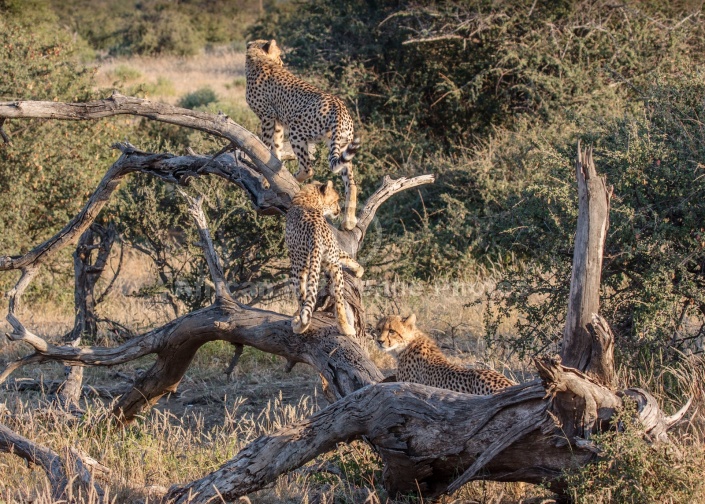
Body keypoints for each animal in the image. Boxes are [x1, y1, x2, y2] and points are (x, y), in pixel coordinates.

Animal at [245, 39, 360, 232]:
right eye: (280, 54)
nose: (282, 62)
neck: (258, 60)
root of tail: (338, 105)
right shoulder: (277, 122)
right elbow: (275, 149)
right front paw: (272, 170)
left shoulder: (268, 116)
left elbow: (266, 146)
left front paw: (265, 179)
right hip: (342, 144)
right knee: (351, 183)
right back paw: (349, 221)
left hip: (296, 129)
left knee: (308, 168)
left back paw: (294, 179)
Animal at [284, 179, 364, 336]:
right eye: (335, 201)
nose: (338, 210)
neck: (309, 200)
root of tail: (315, 232)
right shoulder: (333, 254)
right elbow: (344, 254)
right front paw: (359, 269)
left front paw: (359, 269)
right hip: (334, 268)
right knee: (339, 300)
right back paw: (345, 328)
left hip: (298, 267)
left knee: (303, 299)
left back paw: (299, 324)